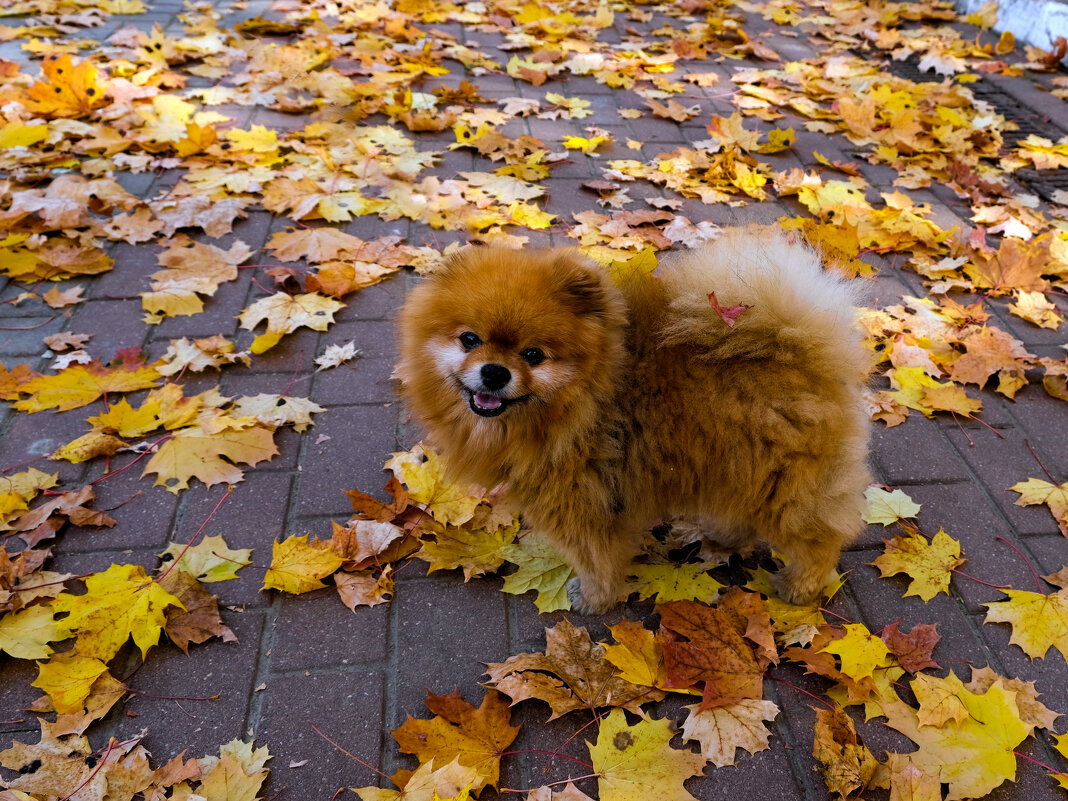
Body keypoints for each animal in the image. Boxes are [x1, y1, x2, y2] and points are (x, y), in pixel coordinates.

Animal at [397, 226, 871, 615]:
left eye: (534, 355)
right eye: (469, 339)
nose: (495, 372)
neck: (582, 400)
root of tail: (801, 349)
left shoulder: (579, 505)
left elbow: (596, 561)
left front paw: (593, 599)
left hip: (782, 480)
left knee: (820, 536)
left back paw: (799, 586)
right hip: (740, 463)